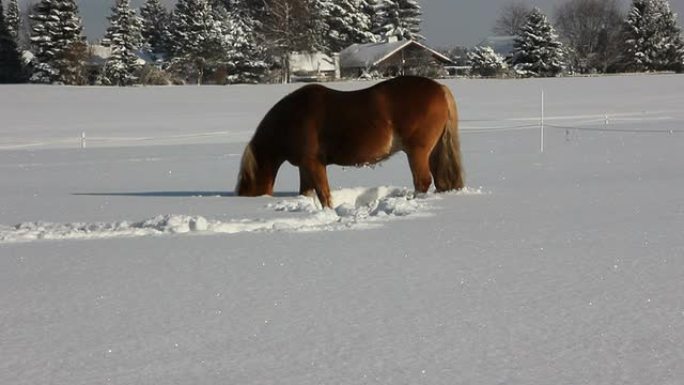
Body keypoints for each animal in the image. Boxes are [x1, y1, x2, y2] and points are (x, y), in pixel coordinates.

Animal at [235, 75, 464, 207]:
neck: (291, 118)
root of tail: (440, 88)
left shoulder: (313, 163)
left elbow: (324, 195)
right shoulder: (305, 166)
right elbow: (307, 193)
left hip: (417, 151)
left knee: (422, 181)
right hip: (432, 151)